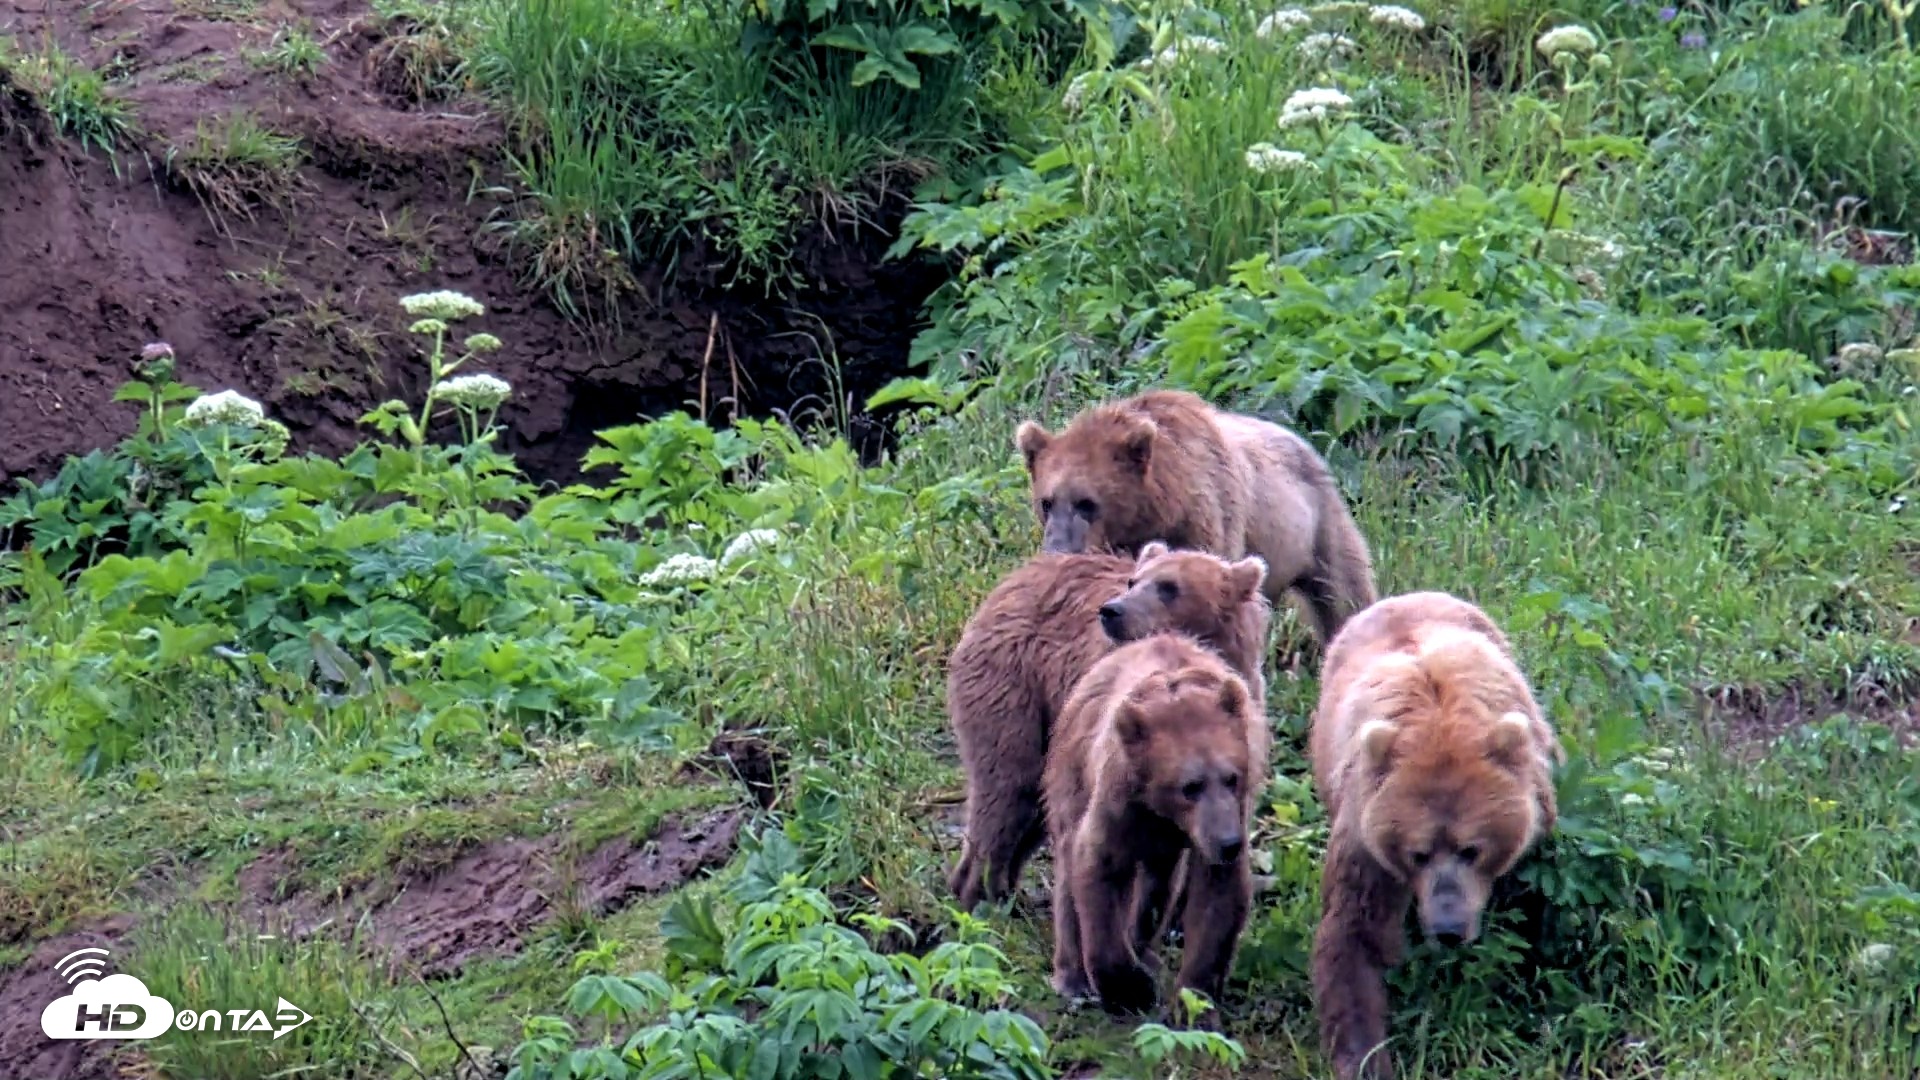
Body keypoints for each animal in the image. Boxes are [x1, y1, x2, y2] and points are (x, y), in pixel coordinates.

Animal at [945, 542, 1272, 915]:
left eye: (1169, 587)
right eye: (1133, 581)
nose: (1112, 610)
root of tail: (1008, 582)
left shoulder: (1239, 720)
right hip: (1015, 684)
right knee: (1009, 785)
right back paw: (978, 894)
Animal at [1013, 388, 1378, 649]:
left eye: (1087, 503)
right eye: (1046, 502)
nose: (1058, 549)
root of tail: (1303, 440)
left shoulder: (1207, 516)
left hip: (1315, 524)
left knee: (1343, 590)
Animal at [1043, 632, 1269, 1017]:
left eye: (1231, 778)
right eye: (1191, 785)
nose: (1229, 843)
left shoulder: (1229, 812)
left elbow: (1218, 895)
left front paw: (1193, 1002)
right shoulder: (1119, 798)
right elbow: (1098, 864)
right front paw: (1129, 988)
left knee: (1159, 883)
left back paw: (1143, 947)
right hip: (1072, 768)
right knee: (1070, 856)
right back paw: (1073, 976)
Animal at [1305, 591, 1564, 1080]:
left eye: (1472, 850)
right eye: (1418, 853)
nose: (1447, 929)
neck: (1438, 724)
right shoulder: (1365, 828)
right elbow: (1355, 929)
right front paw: (1367, 1057)